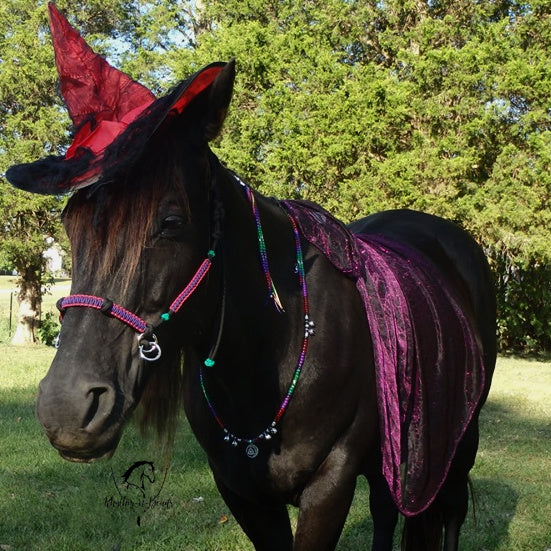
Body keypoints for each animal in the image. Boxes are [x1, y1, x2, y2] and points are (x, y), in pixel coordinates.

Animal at [5, 15, 496, 548]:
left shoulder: (331, 485)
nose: (66, 408)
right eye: (69, 223)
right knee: (388, 510)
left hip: (454, 444)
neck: (271, 352)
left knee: (448, 512)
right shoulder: (241, 491)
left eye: (171, 222)